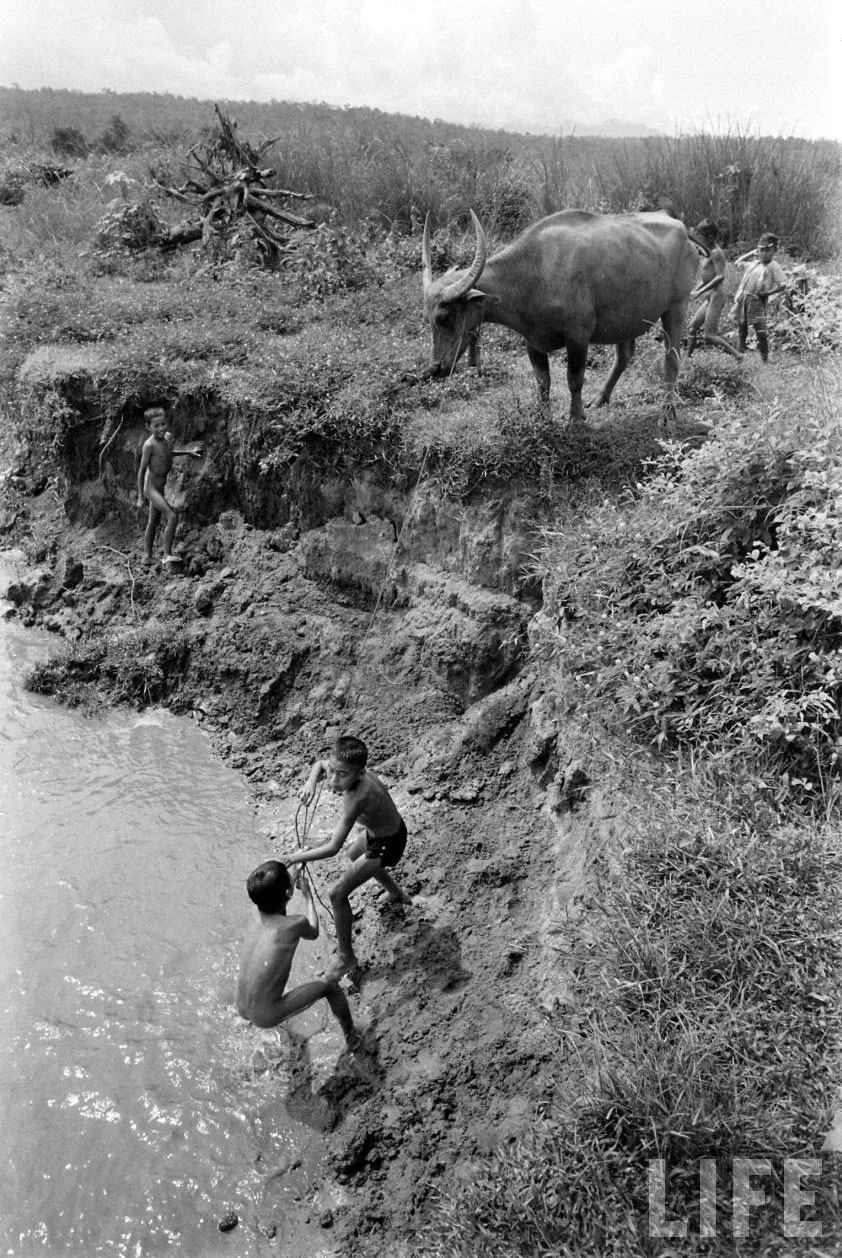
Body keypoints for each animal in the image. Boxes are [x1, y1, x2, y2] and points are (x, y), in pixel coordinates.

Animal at [420, 208, 704, 430]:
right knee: (624, 357)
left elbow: (574, 379)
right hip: (625, 319)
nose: (435, 369)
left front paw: (575, 419)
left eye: (445, 316)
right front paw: (543, 417)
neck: (532, 273)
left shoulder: (578, 336)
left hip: (677, 307)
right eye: (428, 318)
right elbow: (542, 381)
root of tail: (680, 227)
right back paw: (600, 399)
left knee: (671, 358)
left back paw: (666, 414)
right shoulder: (532, 342)